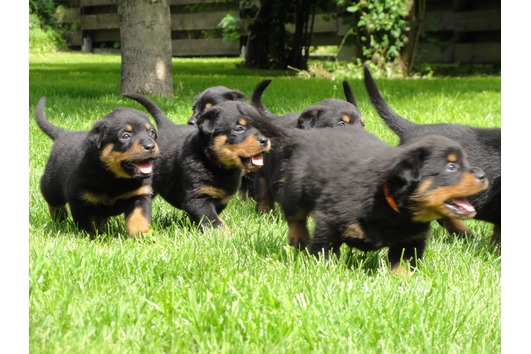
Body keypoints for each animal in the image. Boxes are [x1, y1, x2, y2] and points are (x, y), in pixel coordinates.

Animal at [35, 96, 160, 238]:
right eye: (125, 136)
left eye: (151, 133)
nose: (150, 146)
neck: (115, 178)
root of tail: (64, 134)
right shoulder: (79, 199)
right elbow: (87, 223)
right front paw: (90, 238)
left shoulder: (140, 195)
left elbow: (138, 218)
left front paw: (141, 235)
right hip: (51, 183)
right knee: (54, 202)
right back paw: (59, 218)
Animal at [122, 92, 268, 230]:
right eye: (239, 128)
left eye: (262, 126)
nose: (265, 140)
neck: (214, 164)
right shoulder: (197, 198)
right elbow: (214, 220)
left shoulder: (221, 200)